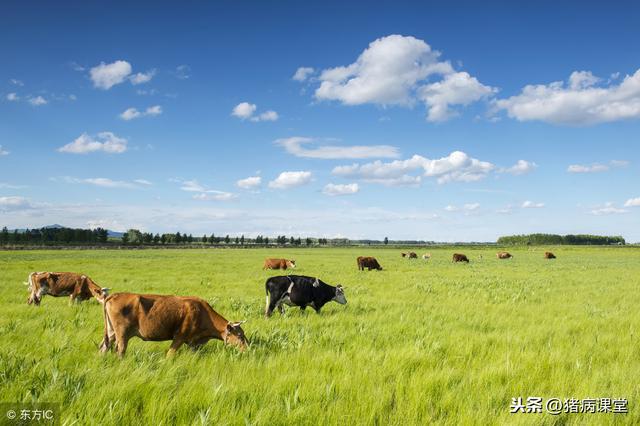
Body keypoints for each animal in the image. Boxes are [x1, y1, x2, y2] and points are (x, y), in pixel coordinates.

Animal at [100, 292, 248, 356]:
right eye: (240, 336)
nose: (248, 348)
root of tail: (114, 295)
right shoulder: (180, 337)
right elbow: (170, 354)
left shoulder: (194, 342)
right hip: (122, 334)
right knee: (120, 350)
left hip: (111, 332)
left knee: (103, 347)